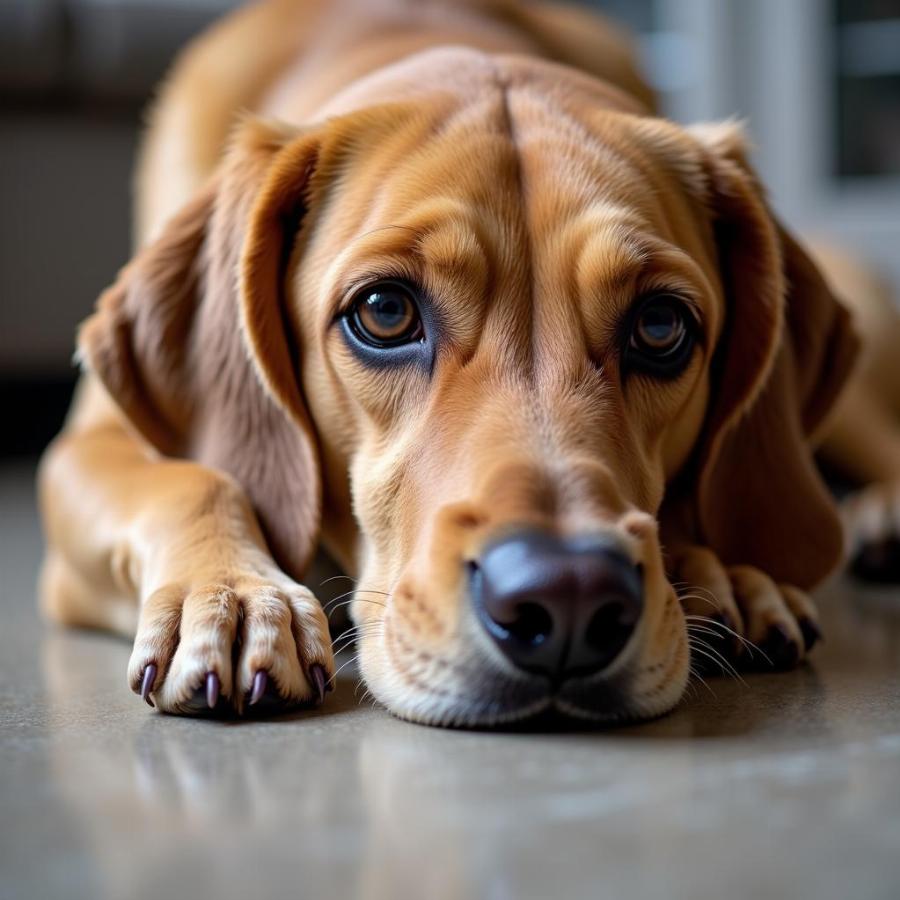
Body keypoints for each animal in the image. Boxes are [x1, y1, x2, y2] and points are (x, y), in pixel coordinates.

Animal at [37, 0, 892, 728]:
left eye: (660, 326)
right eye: (385, 312)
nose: (570, 598)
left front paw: (726, 572)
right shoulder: (85, 450)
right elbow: (193, 478)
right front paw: (234, 595)